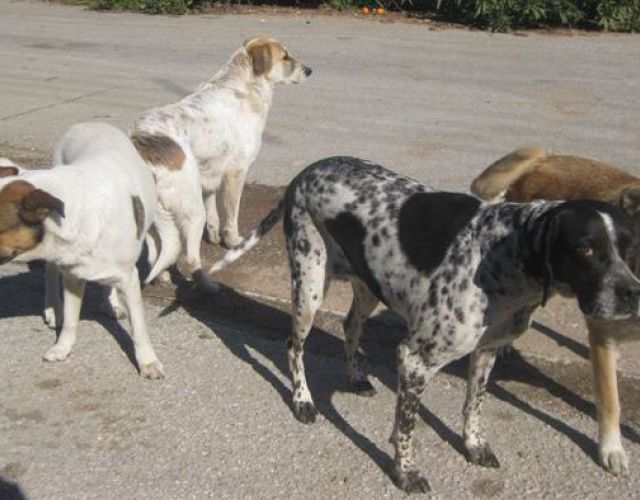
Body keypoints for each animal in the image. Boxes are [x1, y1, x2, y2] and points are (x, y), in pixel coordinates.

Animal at [0, 122, 164, 379]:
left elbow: (139, 328)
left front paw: (147, 361)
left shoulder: (129, 278)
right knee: (50, 273)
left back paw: (111, 303)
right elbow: (70, 320)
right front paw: (62, 347)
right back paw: (53, 308)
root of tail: (88, 124)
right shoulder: (72, 275)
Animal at [131, 37, 312, 290]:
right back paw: (206, 285)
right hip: (190, 208)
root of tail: (143, 147)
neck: (244, 85)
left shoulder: (209, 172)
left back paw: (162, 276)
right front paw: (233, 241)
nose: (309, 70)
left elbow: (213, 212)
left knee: (158, 249)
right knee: (190, 257)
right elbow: (231, 214)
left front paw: (215, 235)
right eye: (285, 57)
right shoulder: (236, 172)